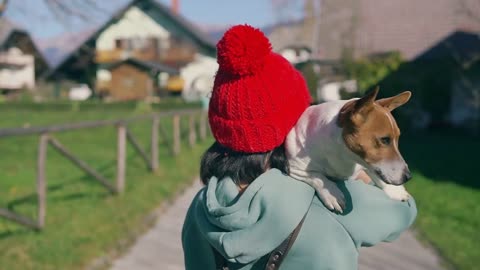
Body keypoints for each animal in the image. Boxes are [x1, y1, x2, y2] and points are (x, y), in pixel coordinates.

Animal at [284, 87, 412, 212]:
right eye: (385, 140)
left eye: (398, 138)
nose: (408, 177)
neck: (345, 155)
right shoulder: (294, 168)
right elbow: (317, 177)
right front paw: (332, 194)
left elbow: (374, 171)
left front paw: (394, 190)